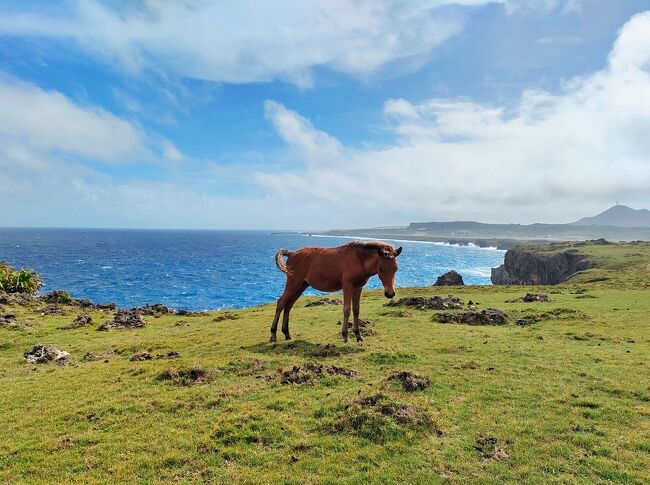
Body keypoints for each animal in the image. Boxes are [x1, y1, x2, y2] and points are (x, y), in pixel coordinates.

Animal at [268, 240, 400, 342]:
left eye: (396, 268)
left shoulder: (358, 288)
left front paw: (358, 335)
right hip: (293, 283)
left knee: (288, 305)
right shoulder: (347, 286)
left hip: (301, 286)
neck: (359, 260)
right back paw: (273, 335)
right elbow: (347, 309)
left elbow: (356, 310)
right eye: (381, 269)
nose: (390, 293)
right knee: (281, 303)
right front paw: (345, 336)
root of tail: (291, 253)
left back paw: (287, 333)